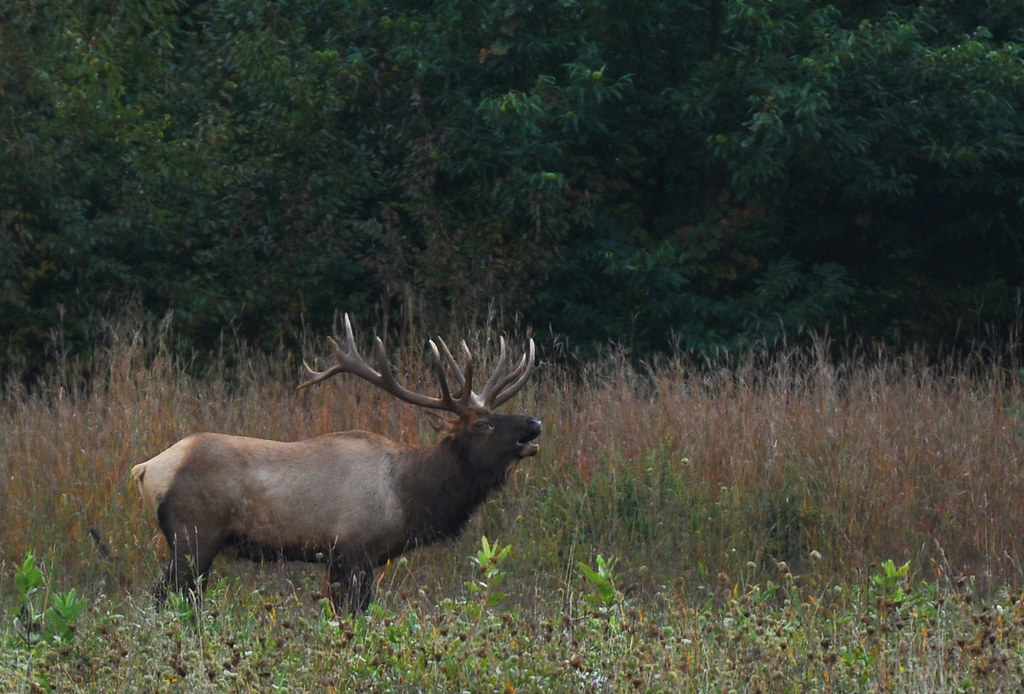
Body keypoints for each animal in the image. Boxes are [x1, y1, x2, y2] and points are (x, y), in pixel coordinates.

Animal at [130, 315, 540, 613]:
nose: (534, 422)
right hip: (193, 535)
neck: (408, 496)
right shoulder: (354, 550)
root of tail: (146, 468)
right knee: (164, 597)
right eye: (482, 424)